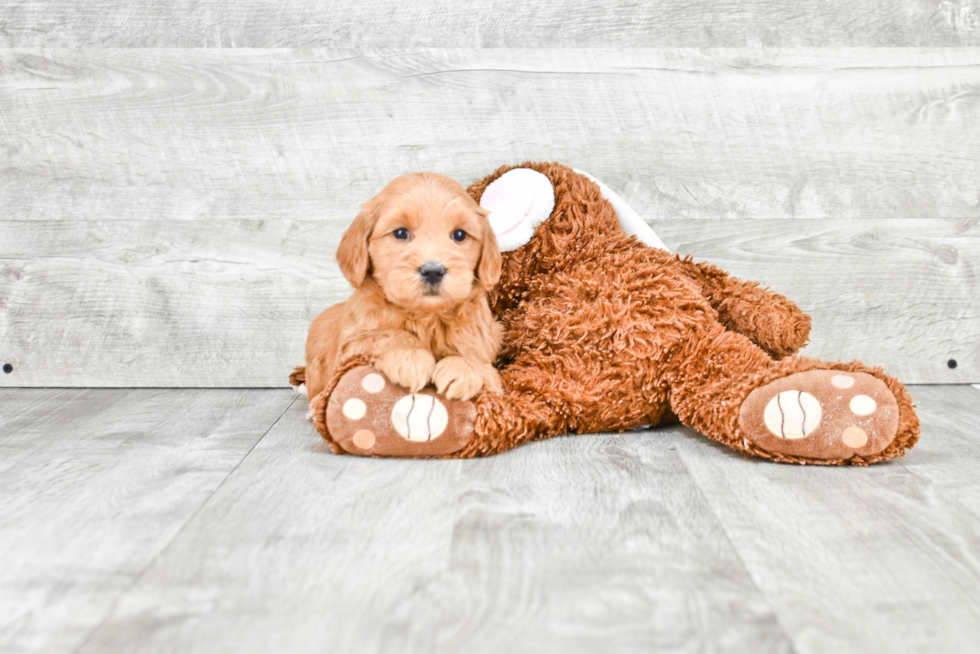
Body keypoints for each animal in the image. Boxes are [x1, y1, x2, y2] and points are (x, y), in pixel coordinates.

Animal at [298, 173, 502, 404]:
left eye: (459, 235)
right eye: (401, 233)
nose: (433, 271)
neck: (426, 316)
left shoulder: (489, 362)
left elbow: (478, 361)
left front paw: (463, 367)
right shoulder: (349, 349)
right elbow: (385, 334)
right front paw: (410, 355)